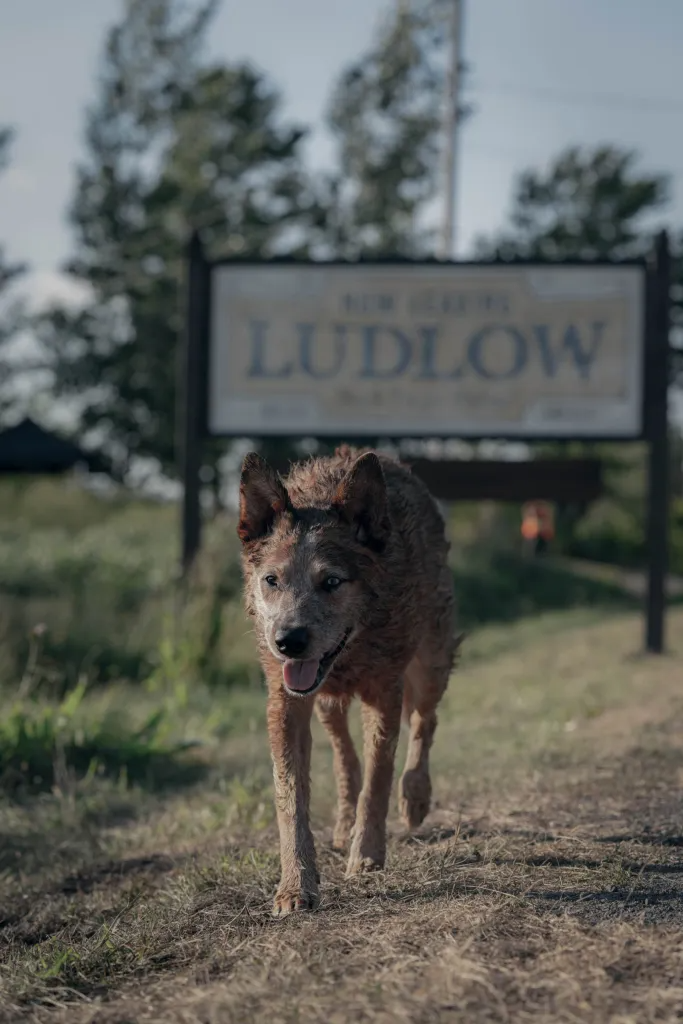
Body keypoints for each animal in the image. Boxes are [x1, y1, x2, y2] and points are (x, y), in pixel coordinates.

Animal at [237, 445, 457, 916]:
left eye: (332, 581)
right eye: (271, 580)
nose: (288, 641)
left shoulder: (385, 692)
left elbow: (378, 779)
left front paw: (368, 855)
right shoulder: (286, 702)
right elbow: (291, 799)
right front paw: (295, 886)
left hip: (431, 662)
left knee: (425, 722)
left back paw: (414, 796)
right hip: (326, 704)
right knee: (344, 758)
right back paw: (342, 824)